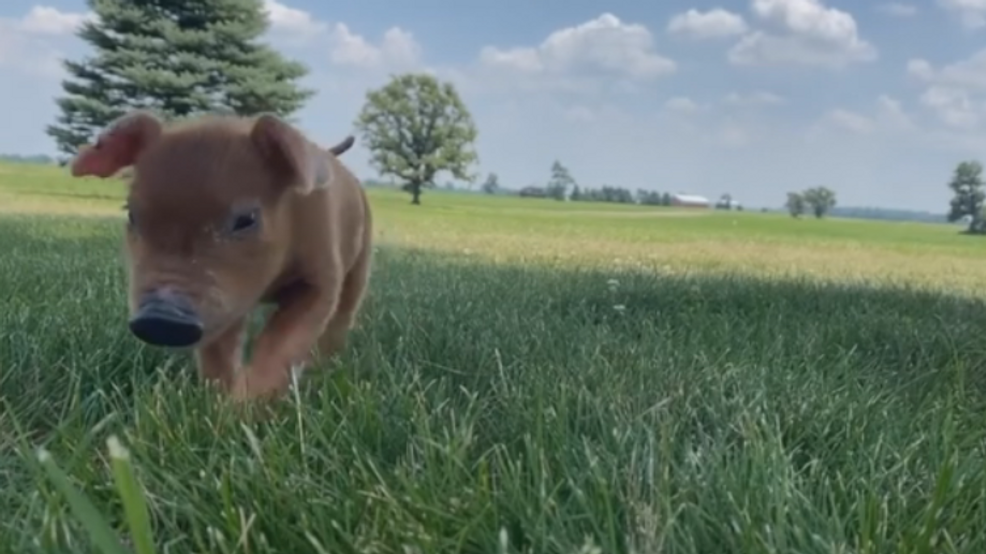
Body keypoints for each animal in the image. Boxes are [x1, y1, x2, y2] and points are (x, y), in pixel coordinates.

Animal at [68, 110, 373, 402]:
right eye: (131, 214)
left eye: (246, 219)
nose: (159, 318)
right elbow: (219, 351)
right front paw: (215, 404)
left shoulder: (321, 276)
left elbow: (283, 343)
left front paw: (242, 408)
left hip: (361, 262)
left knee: (344, 314)